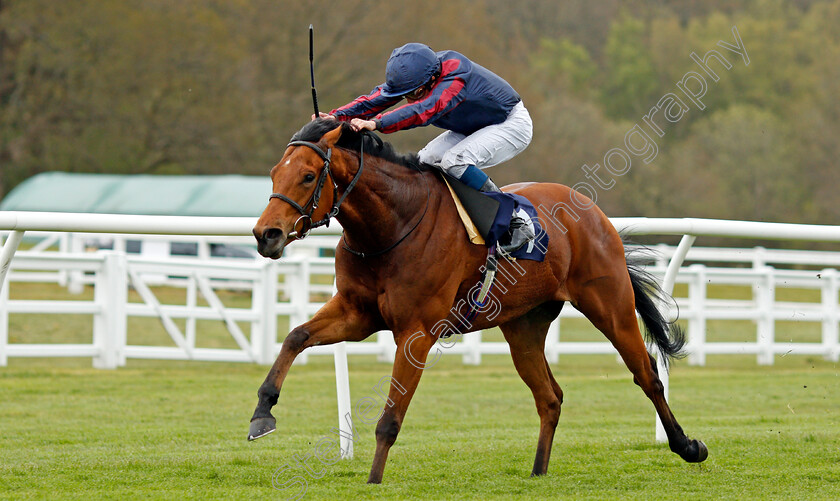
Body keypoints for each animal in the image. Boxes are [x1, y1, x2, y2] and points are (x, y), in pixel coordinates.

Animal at [249, 119, 708, 482]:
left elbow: (390, 419)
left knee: (648, 376)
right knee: (550, 397)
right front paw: (263, 413)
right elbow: (295, 336)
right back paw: (538, 472)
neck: (392, 225)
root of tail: (594, 212)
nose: (265, 234)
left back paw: (687, 446)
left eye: (308, 176)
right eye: (273, 173)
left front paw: (374, 481)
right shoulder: (356, 313)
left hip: (610, 305)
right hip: (524, 326)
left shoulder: (416, 333)